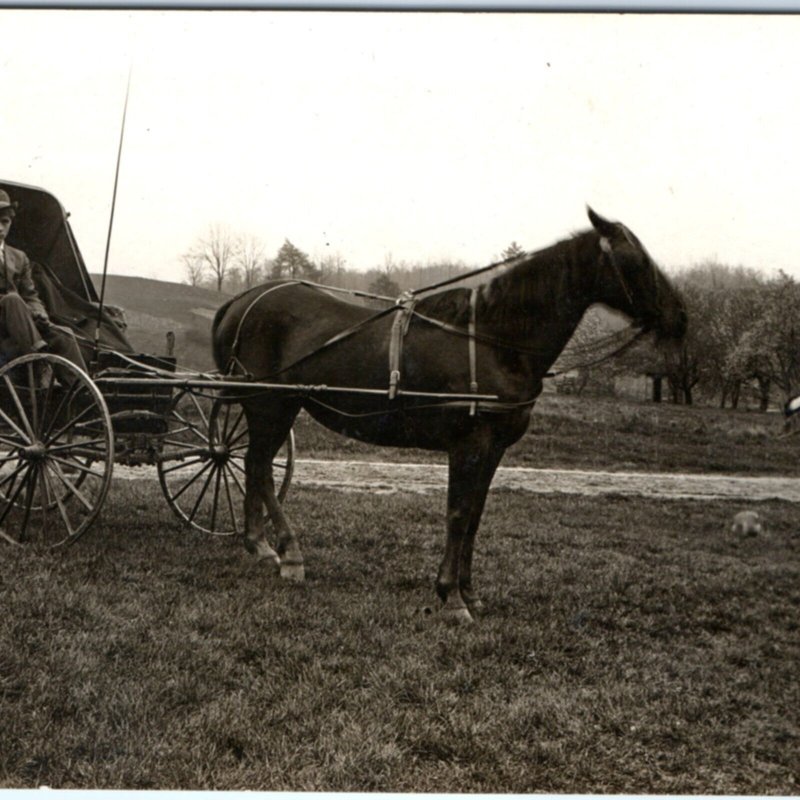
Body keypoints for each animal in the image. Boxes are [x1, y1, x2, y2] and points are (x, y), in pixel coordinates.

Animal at [212, 209, 688, 620]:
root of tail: (244, 300)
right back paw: (290, 554)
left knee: (252, 465)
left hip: (272, 408)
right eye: (634, 259)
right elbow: (458, 514)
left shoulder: (494, 448)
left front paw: (470, 592)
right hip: (272, 406)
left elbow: (475, 516)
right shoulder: (469, 444)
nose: (680, 317)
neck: (494, 340)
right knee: (260, 467)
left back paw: (259, 545)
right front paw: (451, 597)